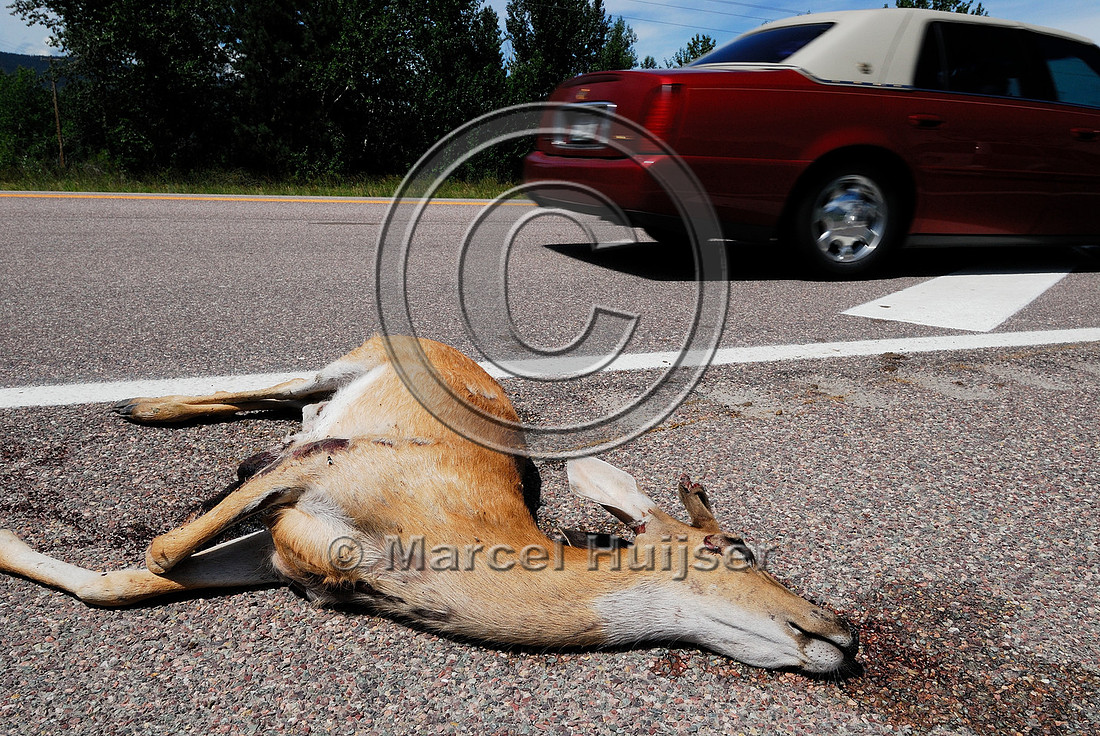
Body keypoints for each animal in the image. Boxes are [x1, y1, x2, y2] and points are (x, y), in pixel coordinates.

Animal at [0, 335, 857, 675]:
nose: (844, 632)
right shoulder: (325, 473)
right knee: (279, 389)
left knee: (281, 401)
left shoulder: (281, 556)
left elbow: (116, 585)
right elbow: (159, 547)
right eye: (733, 546)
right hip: (349, 360)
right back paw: (140, 405)